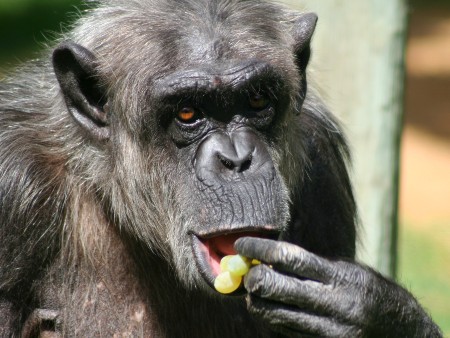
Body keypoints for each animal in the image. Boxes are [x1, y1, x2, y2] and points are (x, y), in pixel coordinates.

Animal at [0, 0, 442, 336]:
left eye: (258, 100)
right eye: (188, 112)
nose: (237, 159)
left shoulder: (323, 166)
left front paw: (366, 312)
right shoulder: (12, 181)